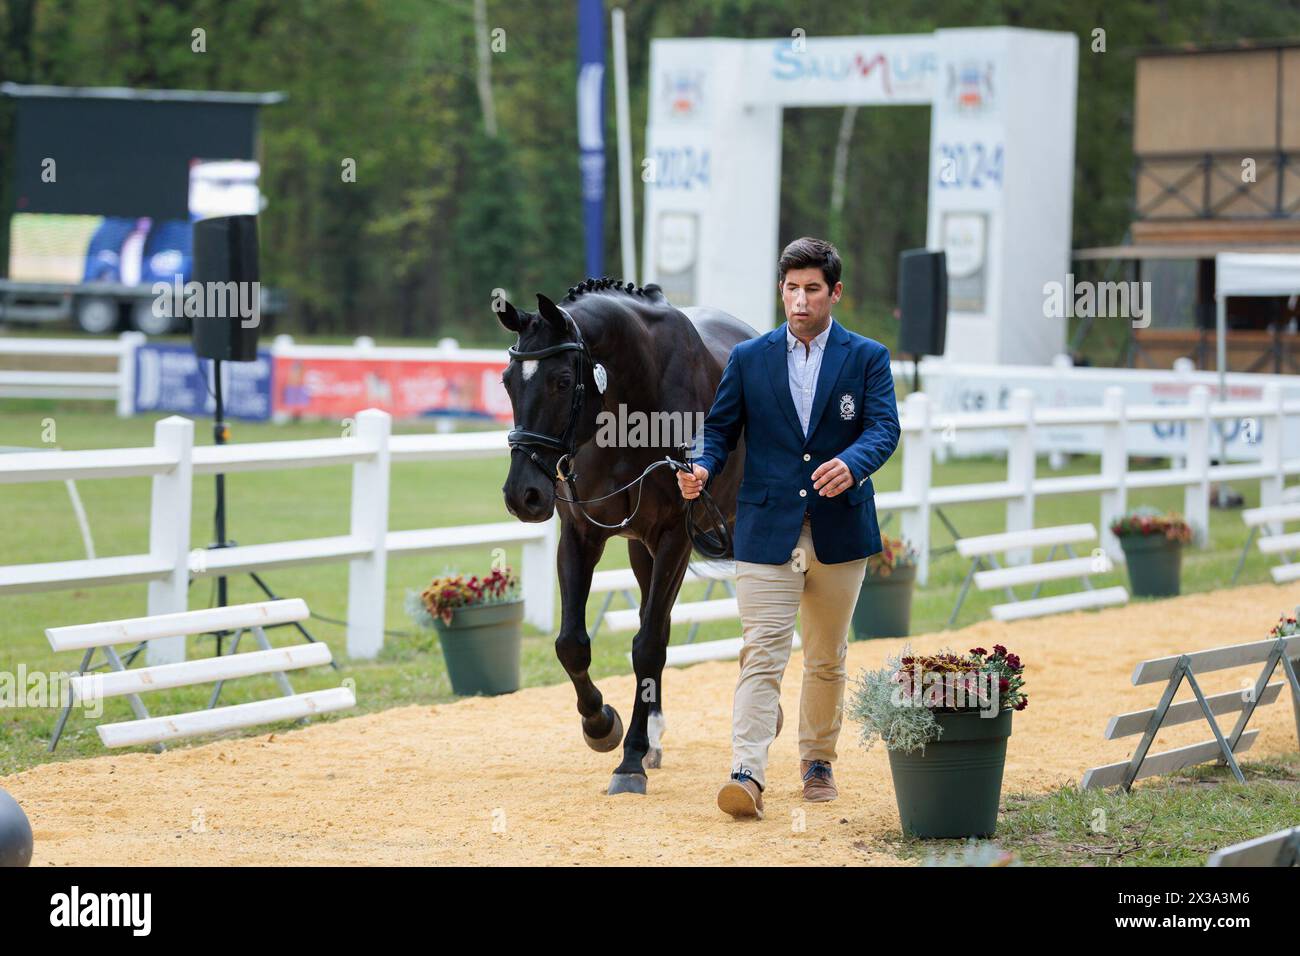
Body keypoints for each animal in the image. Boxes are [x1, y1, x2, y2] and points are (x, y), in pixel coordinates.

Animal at [499, 280, 759, 796]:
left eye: (563, 381)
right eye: (507, 381)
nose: (524, 495)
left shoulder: (676, 537)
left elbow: (648, 645)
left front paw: (630, 761)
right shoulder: (581, 533)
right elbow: (573, 643)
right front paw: (602, 725)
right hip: (642, 548)